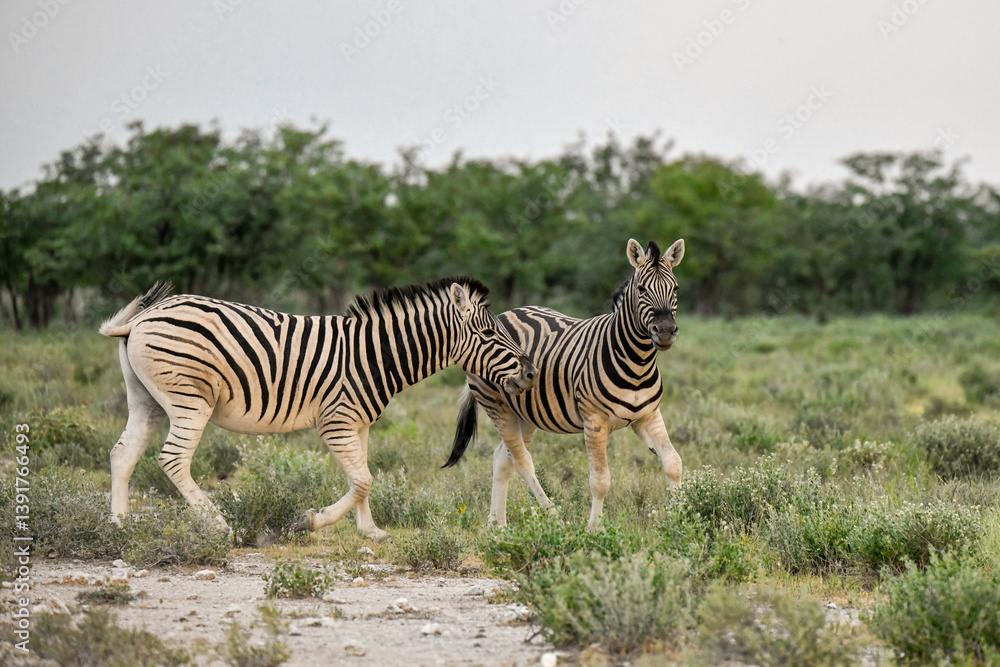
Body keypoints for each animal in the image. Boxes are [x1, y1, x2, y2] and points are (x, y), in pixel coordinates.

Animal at [100, 277, 538, 542]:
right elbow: (362, 480)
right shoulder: (336, 421)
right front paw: (311, 521)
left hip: (147, 401)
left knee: (123, 454)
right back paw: (219, 524)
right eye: (488, 333)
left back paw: (119, 525)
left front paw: (370, 530)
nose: (532, 372)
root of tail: (143, 317)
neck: (375, 355)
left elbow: (363, 478)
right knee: (173, 459)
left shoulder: (360, 423)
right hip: (190, 398)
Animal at [443, 238, 684, 529]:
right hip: (496, 405)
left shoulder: (647, 416)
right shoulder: (594, 422)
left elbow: (673, 462)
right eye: (641, 289)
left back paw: (497, 526)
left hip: (524, 414)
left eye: (675, 288)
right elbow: (600, 480)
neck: (637, 361)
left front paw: (678, 521)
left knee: (503, 458)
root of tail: (505, 313)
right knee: (521, 462)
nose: (666, 331)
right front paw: (595, 530)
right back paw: (545, 517)